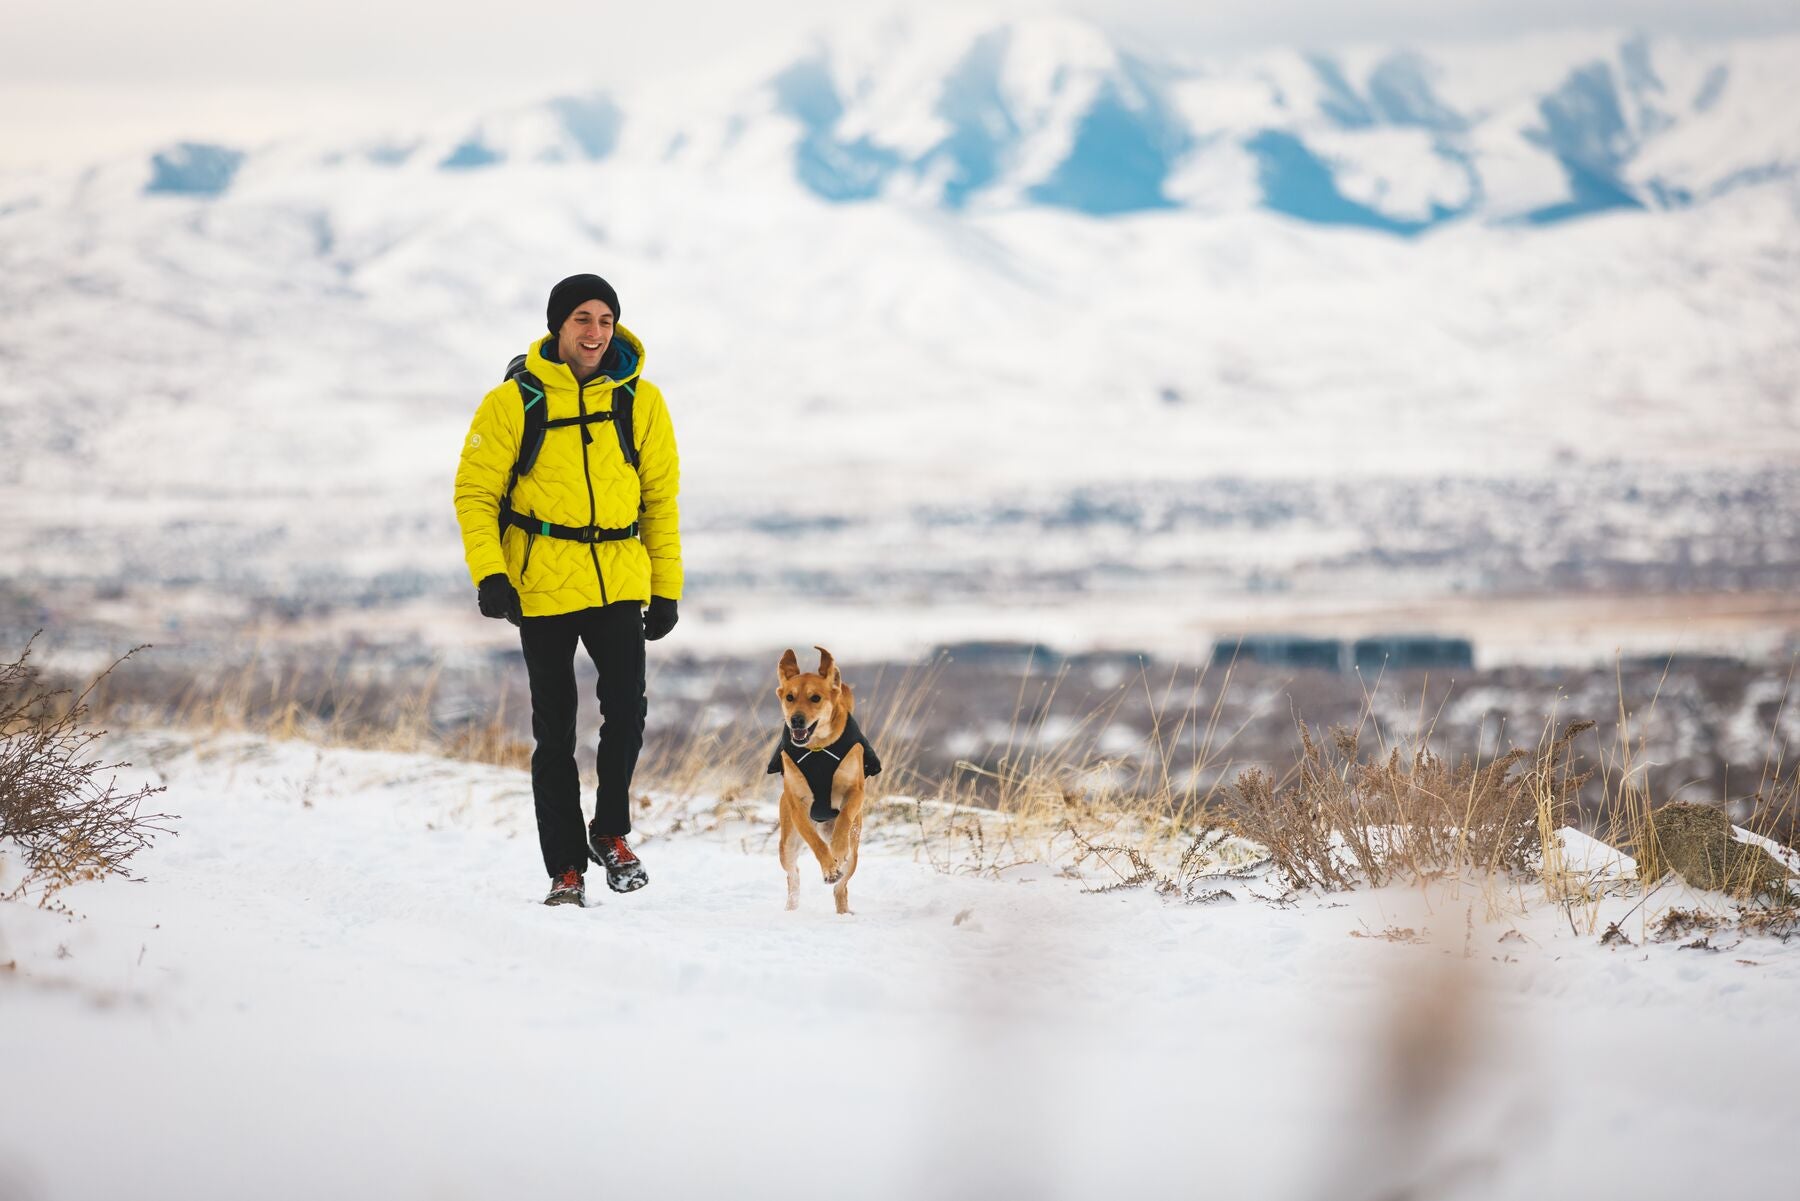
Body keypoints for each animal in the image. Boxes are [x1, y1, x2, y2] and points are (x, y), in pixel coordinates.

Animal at [770, 648, 882, 911]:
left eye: (815, 698)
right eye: (790, 697)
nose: (796, 720)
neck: (818, 748)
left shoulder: (855, 790)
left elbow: (844, 818)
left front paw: (837, 852)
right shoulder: (798, 805)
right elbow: (815, 843)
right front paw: (829, 868)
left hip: (854, 852)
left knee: (841, 887)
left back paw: (843, 910)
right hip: (787, 844)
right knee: (793, 875)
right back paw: (791, 907)